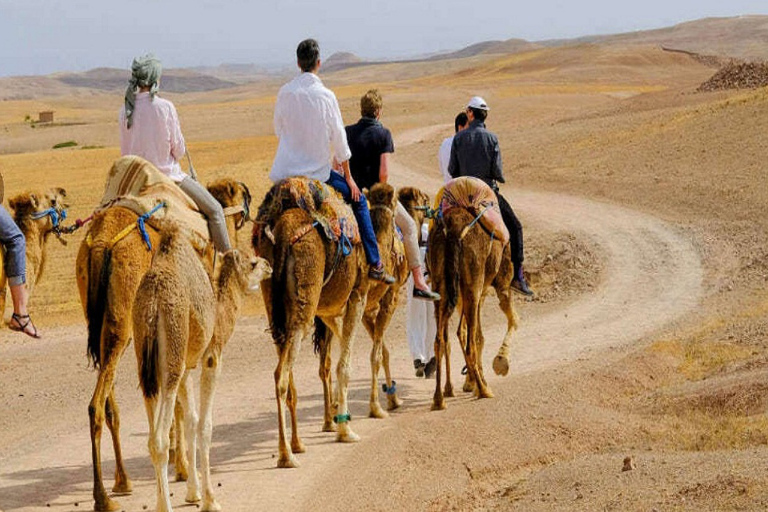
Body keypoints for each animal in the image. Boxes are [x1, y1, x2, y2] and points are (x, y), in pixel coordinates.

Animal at [75, 178, 250, 510]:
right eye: (243, 198)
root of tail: (102, 244)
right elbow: (181, 408)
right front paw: (183, 471)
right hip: (124, 324)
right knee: (96, 405)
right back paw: (103, 497)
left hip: (104, 325)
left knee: (105, 401)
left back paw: (121, 481)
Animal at [135, 227, 270, 512]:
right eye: (252, 263)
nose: (268, 265)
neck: (219, 309)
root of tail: (152, 304)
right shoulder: (211, 356)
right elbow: (205, 425)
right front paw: (210, 499)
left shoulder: (188, 366)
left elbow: (191, 421)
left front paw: (193, 492)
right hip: (172, 352)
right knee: (159, 439)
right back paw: (165, 507)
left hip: (146, 363)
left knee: (152, 435)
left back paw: (160, 501)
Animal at [255, 179, 368, 468]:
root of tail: (283, 232)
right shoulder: (357, 295)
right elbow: (343, 365)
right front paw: (345, 430)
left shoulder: (326, 310)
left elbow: (331, 360)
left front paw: (334, 419)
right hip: (305, 302)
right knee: (281, 375)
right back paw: (286, 455)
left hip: (275, 306)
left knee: (287, 372)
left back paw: (296, 444)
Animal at [428, 178, 520, 410]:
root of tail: (453, 229)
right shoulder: (500, 286)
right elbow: (512, 320)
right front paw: (500, 363)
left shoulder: (478, 292)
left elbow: (475, 334)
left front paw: (471, 381)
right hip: (473, 284)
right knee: (467, 341)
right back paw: (484, 390)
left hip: (443, 287)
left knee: (440, 340)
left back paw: (440, 397)